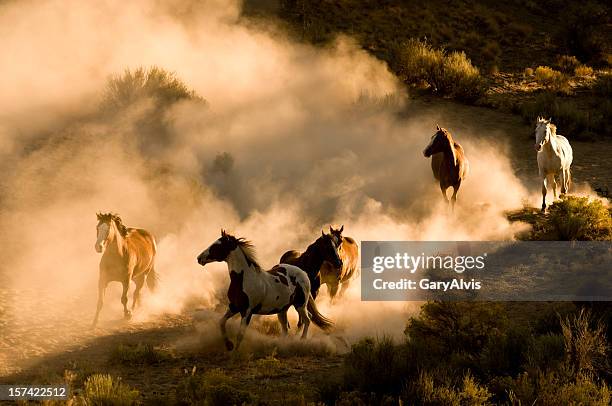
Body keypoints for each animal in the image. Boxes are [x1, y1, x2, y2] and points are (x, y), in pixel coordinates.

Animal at [197, 230, 332, 350]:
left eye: (217, 245)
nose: (199, 258)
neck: (244, 278)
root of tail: (303, 273)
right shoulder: (233, 307)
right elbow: (221, 322)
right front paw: (228, 345)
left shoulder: (247, 311)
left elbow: (240, 335)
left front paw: (235, 353)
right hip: (282, 309)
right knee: (285, 327)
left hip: (300, 305)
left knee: (307, 319)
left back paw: (302, 340)